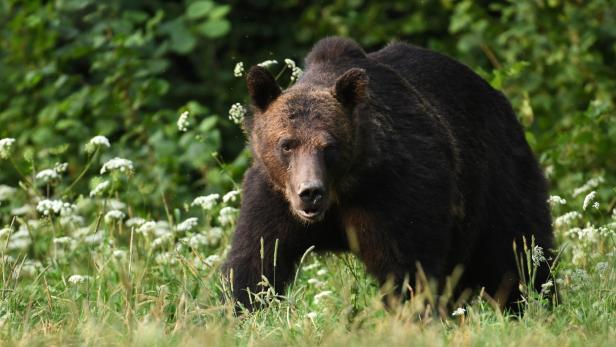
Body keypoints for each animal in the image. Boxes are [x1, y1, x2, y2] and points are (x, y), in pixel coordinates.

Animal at [224, 36, 556, 314]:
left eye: (329, 146)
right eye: (287, 144)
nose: (310, 193)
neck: (344, 187)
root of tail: (497, 97)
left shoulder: (398, 191)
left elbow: (408, 266)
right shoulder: (273, 197)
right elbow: (256, 262)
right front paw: (244, 310)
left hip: (497, 176)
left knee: (517, 250)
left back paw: (537, 304)